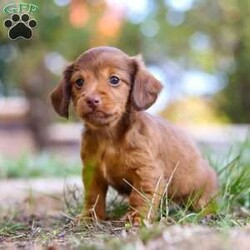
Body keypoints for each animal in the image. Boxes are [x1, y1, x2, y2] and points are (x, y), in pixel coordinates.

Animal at [50, 46, 217, 224]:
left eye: (114, 79)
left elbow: (141, 196)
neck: (109, 137)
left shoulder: (147, 172)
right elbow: (93, 196)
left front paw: (137, 217)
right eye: (79, 82)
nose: (91, 100)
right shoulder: (92, 171)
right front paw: (89, 216)